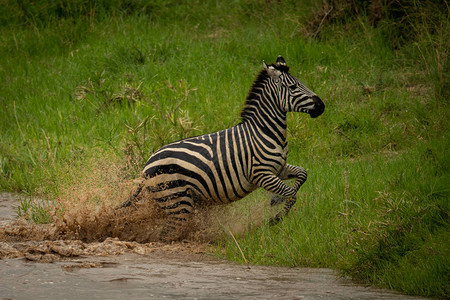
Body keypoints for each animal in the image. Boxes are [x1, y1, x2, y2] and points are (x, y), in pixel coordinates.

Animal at [119, 55, 324, 240]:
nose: (321, 106)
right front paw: (276, 218)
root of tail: (146, 168)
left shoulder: (278, 169)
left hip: (174, 200)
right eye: (293, 87)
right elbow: (291, 194)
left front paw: (276, 199)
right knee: (167, 234)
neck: (264, 131)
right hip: (177, 200)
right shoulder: (261, 174)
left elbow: (302, 174)